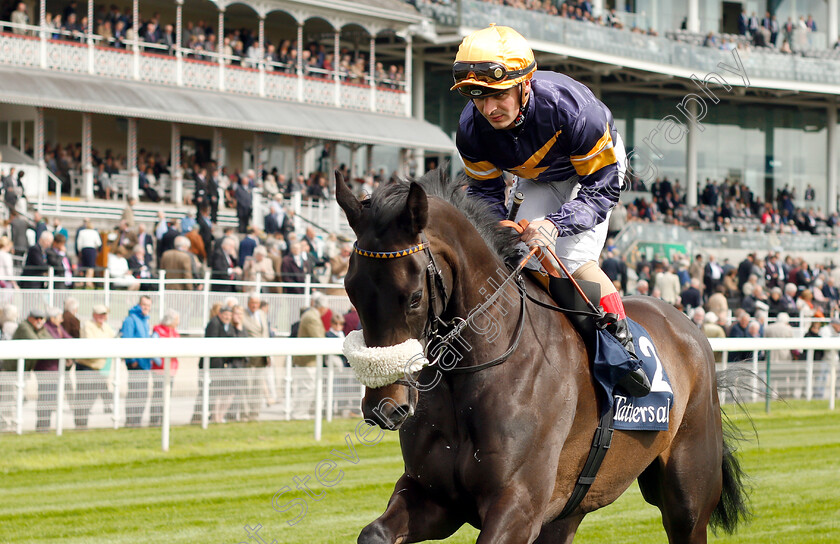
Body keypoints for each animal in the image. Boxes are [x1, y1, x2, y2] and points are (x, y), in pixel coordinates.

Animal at [334, 168, 748, 540]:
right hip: (569, 510)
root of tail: (687, 324)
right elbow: (374, 533)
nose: (384, 407)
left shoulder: (519, 504)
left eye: (414, 297)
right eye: (350, 289)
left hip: (688, 497)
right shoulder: (433, 496)